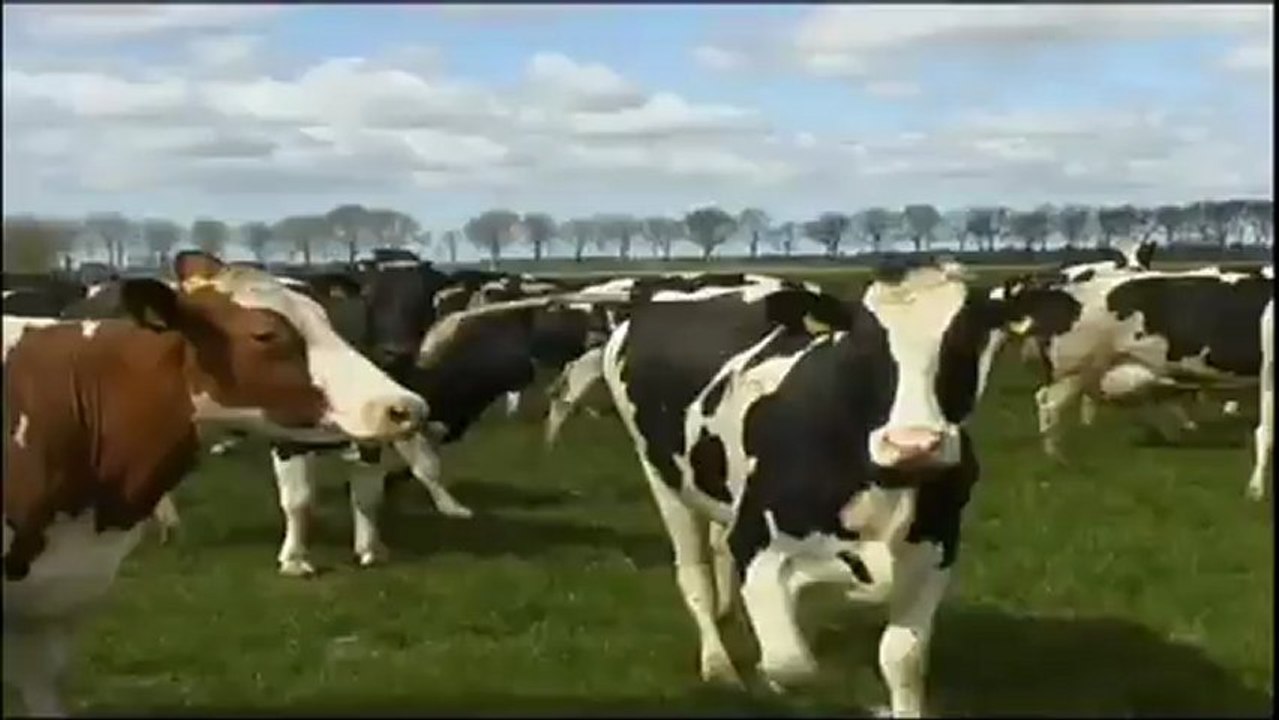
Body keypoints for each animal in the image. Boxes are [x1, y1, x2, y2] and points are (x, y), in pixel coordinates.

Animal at [593, 259, 1010, 717]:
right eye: (864, 346)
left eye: (967, 341)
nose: (913, 444)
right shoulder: (756, 542)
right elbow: (793, 665)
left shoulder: (936, 548)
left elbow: (903, 657)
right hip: (663, 477)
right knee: (694, 575)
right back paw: (718, 665)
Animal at [999, 264, 1274, 497]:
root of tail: (1055, 292)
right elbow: (1265, 432)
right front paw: (1256, 490)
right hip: (1074, 370)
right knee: (1049, 405)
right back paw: (1058, 461)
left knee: (1044, 400)